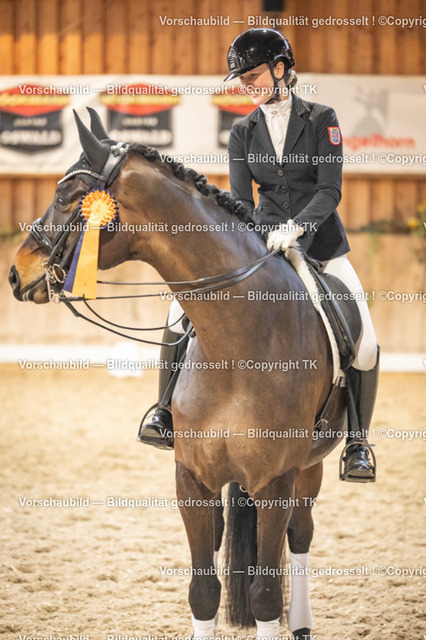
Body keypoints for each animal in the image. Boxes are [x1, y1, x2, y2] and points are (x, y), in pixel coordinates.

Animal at [9, 109, 348, 640]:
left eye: (66, 197)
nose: (16, 273)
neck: (239, 344)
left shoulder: (275, 482)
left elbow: (266, 594)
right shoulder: (192, 479)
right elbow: (203, 590)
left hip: (309, 468)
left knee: (301, 536)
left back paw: (302, 623)